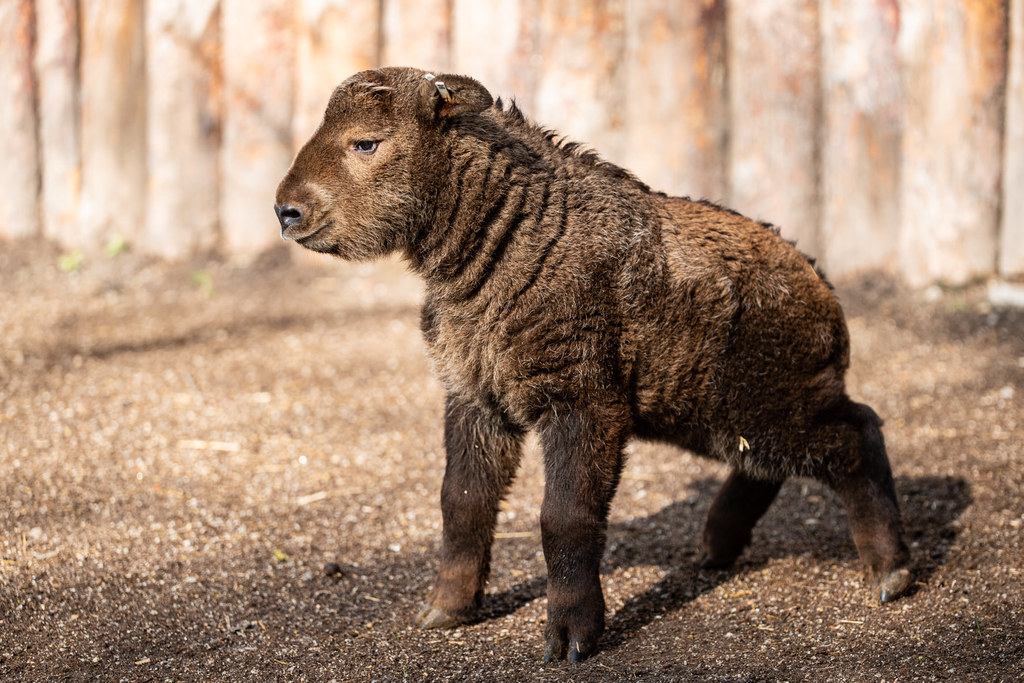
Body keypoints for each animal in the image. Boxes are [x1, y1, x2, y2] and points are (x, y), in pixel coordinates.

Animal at [274, 68, 913, 663]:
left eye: (366, 142)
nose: (286, 211)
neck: (511, 238)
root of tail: (824, 291)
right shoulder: (476, 396)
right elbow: (462, 503)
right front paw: (447, 611)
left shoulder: (581, 402)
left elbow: (564, 517)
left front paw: (570, 639)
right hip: (718, 415)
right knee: (768, 464)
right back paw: (716, 547)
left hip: (772, 404)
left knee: (858, 433)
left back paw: (891, 572)